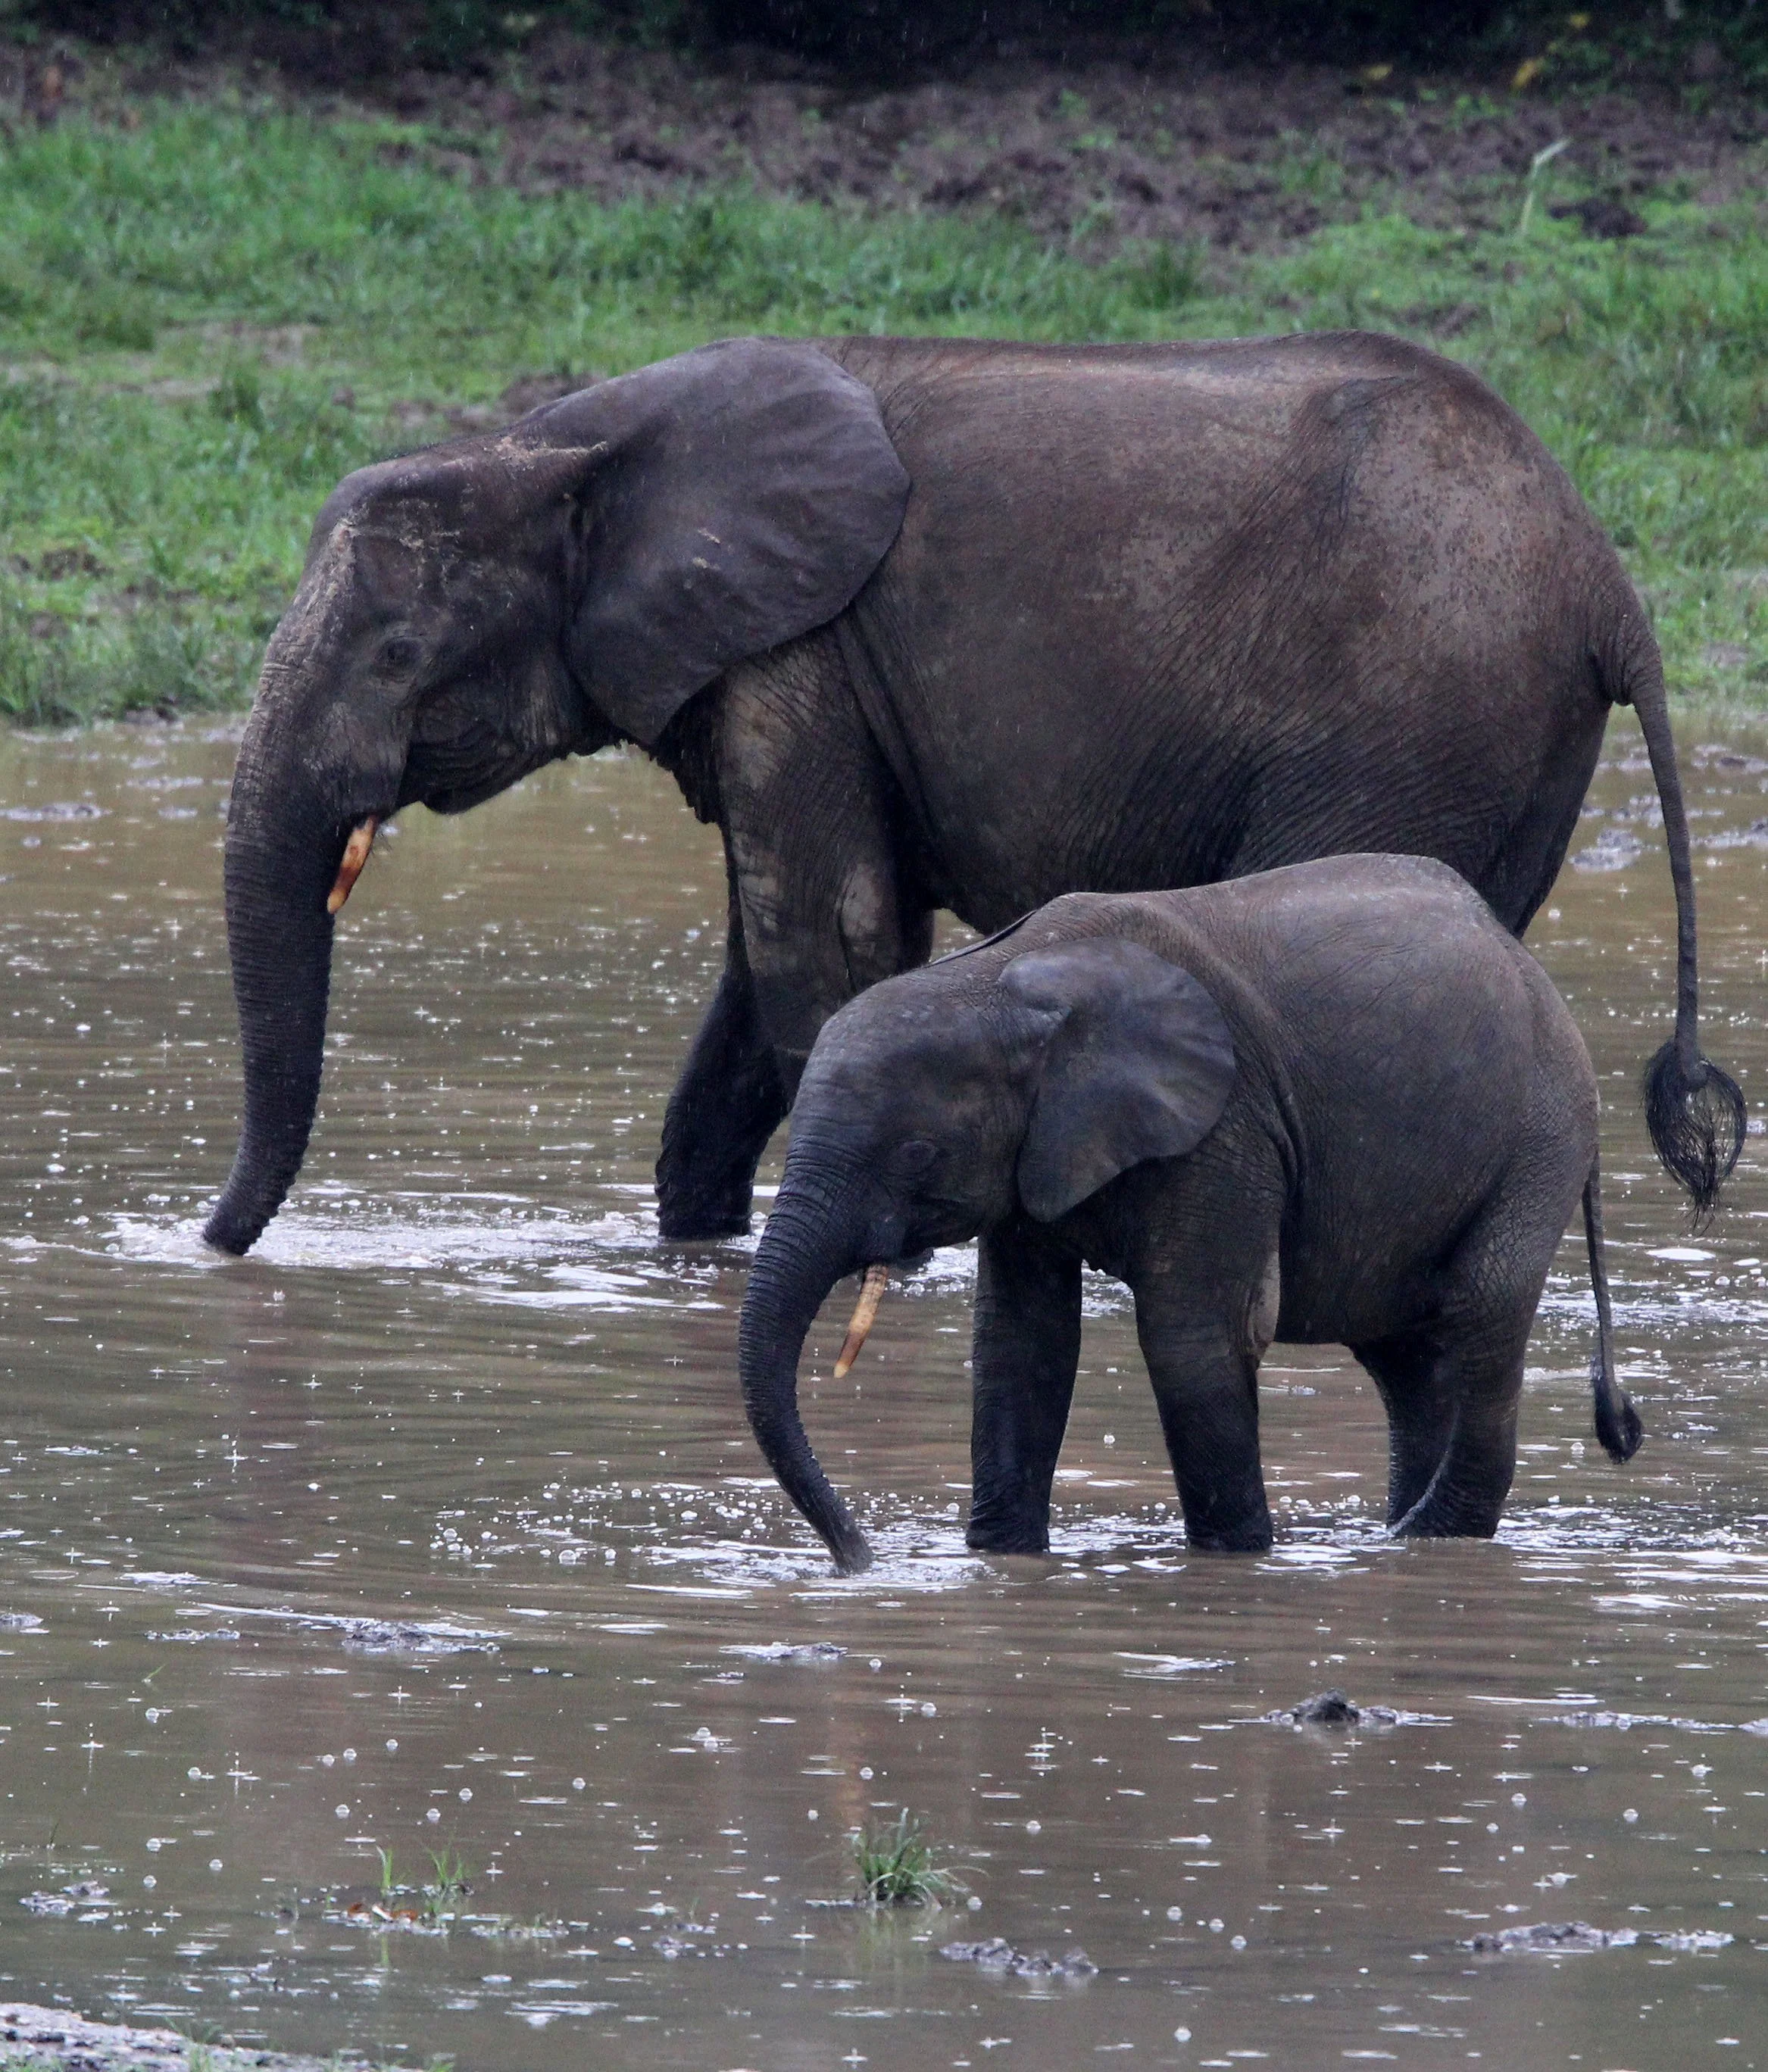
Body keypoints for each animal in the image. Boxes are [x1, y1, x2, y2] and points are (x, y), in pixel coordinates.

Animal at [202, 330, 1743, 1258]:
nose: (211, 1241)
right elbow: (772, 967)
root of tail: (1604, 578)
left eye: (397, 657)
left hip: (1411, 713)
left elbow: (824, 951)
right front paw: (699, 1254)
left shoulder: (798, 652)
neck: (556, 448)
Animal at [735, 855, 1647, 1575]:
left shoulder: (1222, 1128)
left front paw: (1234, 1562)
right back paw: (1401, 1537)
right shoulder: (1038, 1156)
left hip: (1543, 1132)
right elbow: (1020, 1345)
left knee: (1482, 1308)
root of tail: (1524, 959)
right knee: (1408, 1357)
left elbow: (1192, 1339)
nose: (859, 1557)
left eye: (917, 1154)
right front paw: (1000, 1562)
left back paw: (1428, 1537)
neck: (1003, 982)